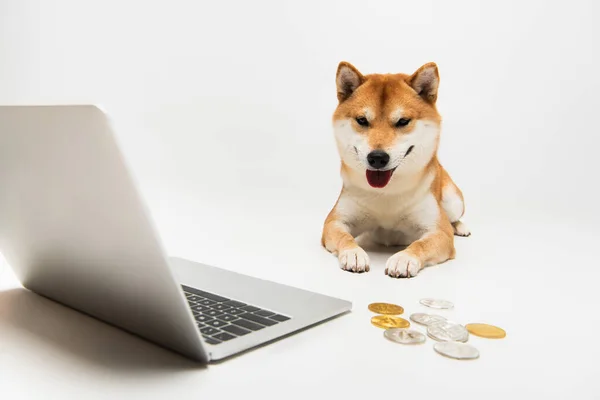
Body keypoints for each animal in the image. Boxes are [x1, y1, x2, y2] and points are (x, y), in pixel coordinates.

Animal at [324, 61, 468, 278]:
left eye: (403, 121)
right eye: (362, 120)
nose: (377, 157)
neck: (387, 193)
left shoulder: (439, 231)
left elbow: (421, 244)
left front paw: (404, 258)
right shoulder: (334, 221)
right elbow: (344, 237)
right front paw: (353, 253)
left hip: (453, 201)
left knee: (453, 217)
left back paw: (461, 227)